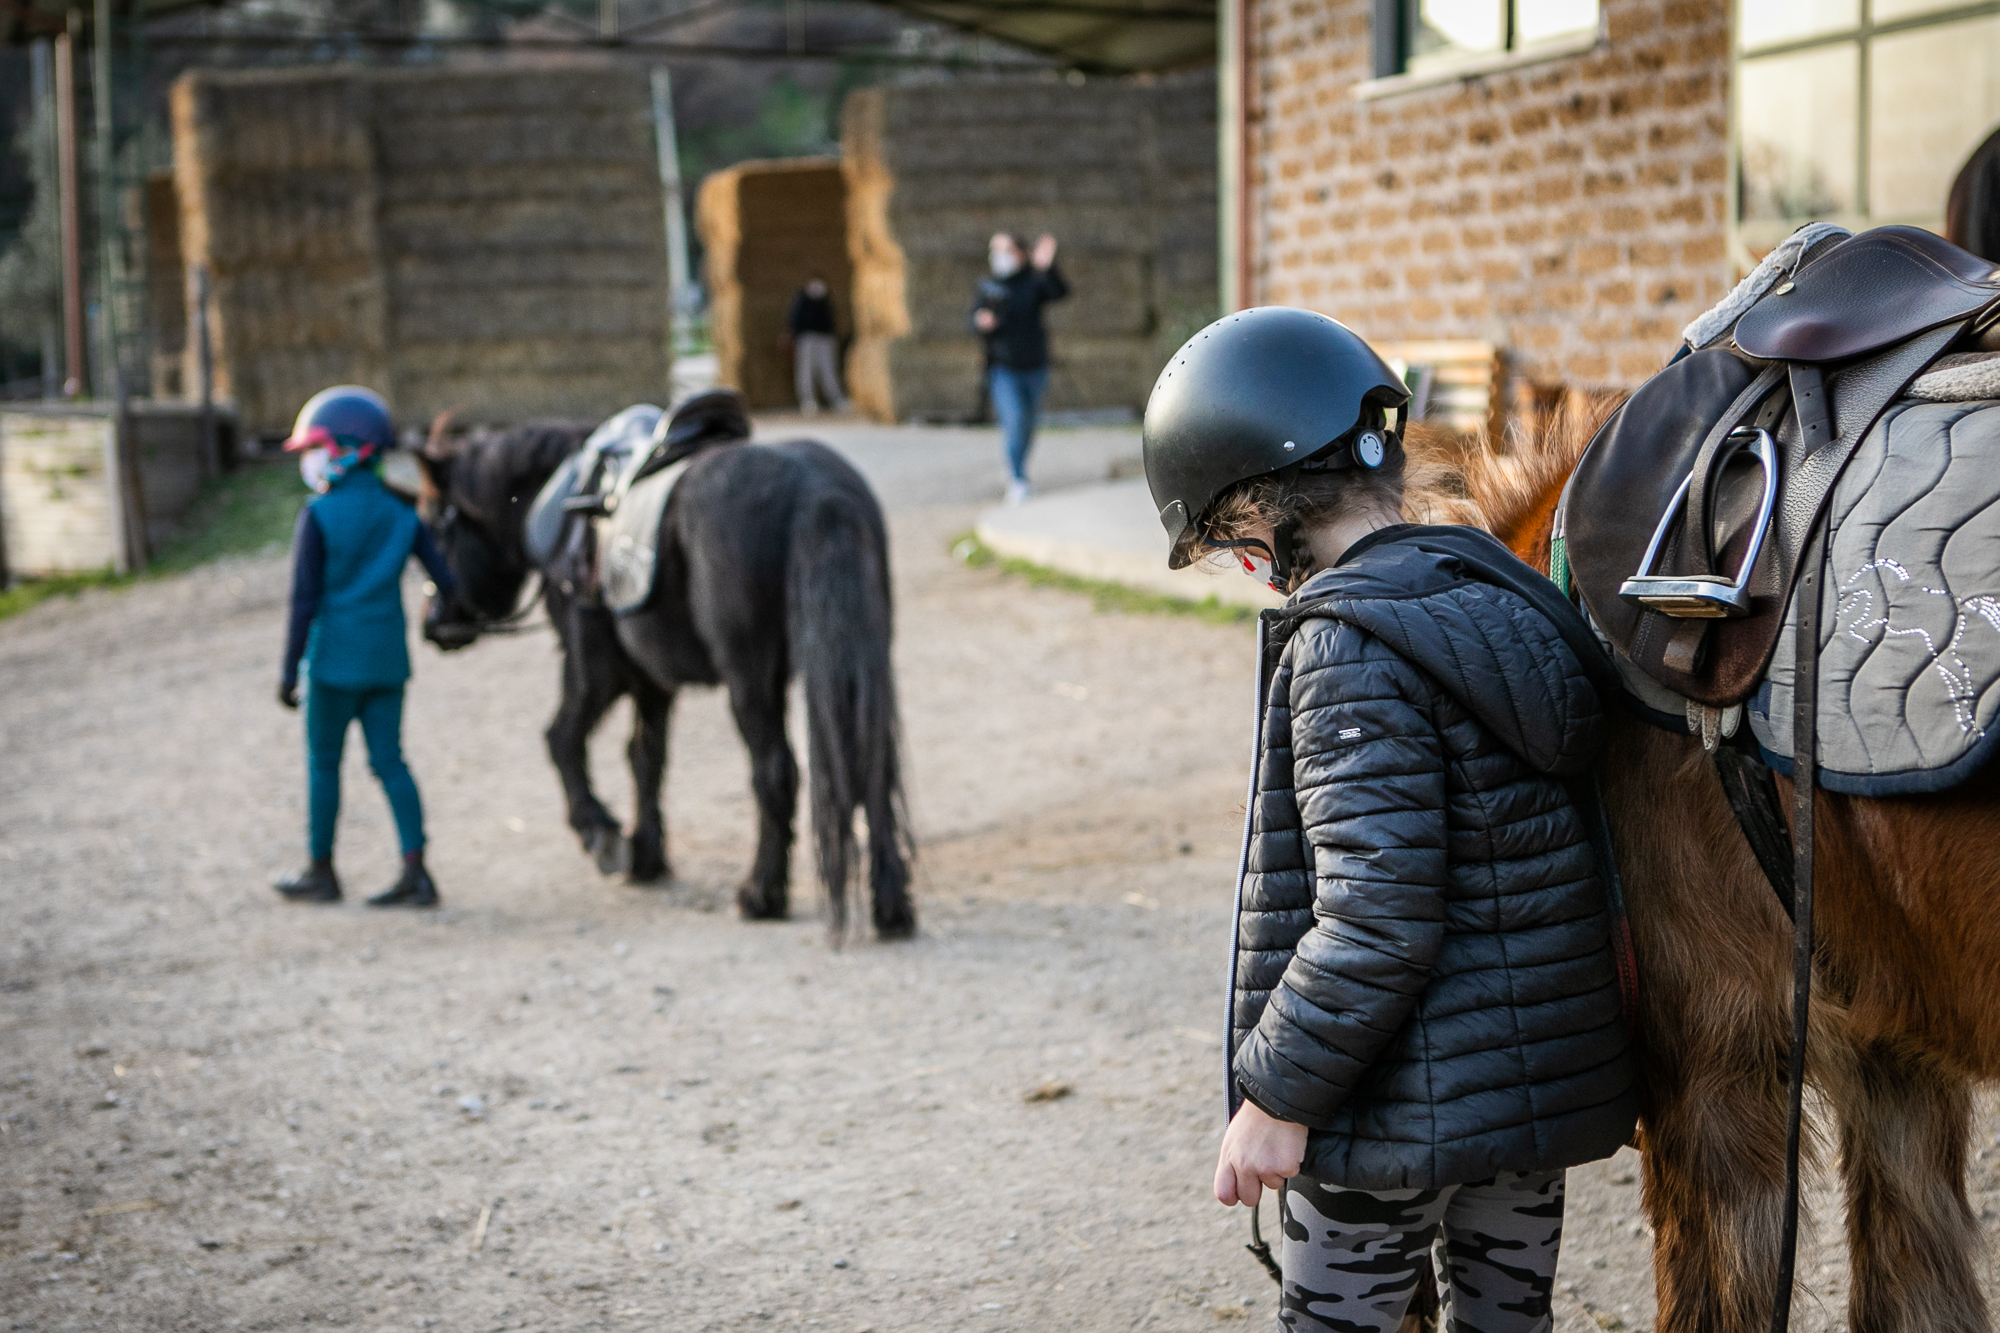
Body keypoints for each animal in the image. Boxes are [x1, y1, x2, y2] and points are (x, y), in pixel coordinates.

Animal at [426, 404, 916, 932]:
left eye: (434, 528)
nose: (432, 623)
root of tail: (818, 492)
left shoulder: (594, 669)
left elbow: (563, 738)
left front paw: (600, 832)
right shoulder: (652, 681)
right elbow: (646, 757)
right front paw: (647, 854)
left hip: (750, 678)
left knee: (774, 771)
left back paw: (762, 893)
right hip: (861, 660)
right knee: (873, 761)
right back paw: (890, 904)